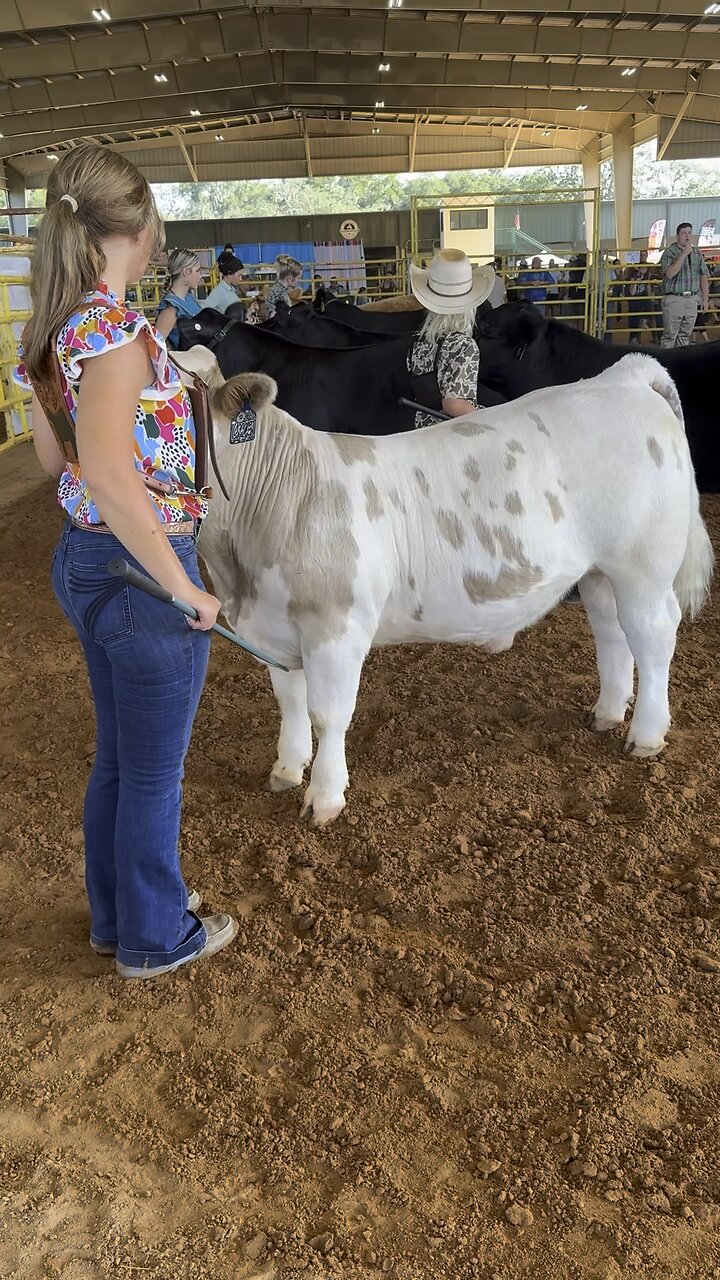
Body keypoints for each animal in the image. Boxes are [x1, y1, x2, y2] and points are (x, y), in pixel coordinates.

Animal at [177, 345, 712, 828]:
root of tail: (622, 376)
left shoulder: (337, 627)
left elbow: (329, 714)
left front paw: (324, 798)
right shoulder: (269, 628)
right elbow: (289, 701)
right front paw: (287, 769)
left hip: (644, 566)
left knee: (654, 636)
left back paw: (646, 734)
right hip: (600, 571)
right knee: (611, 632)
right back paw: (606, 713)